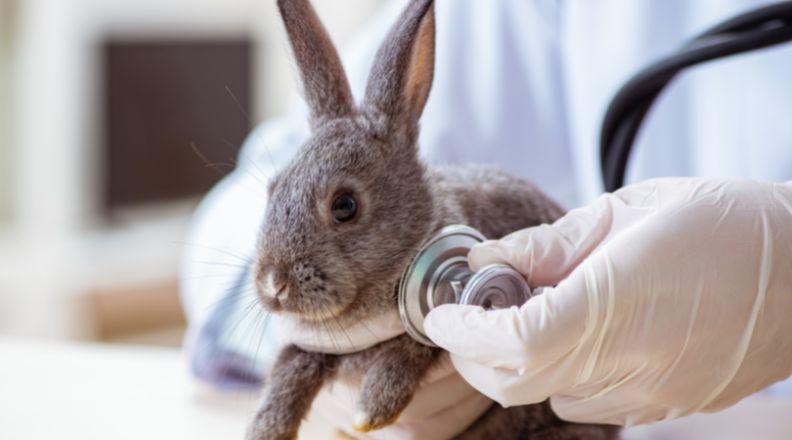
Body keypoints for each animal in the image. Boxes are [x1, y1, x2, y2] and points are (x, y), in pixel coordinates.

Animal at [247, 0, 620, 439]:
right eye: (272, 188)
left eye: (344, 205)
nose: (274, 284)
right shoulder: (312, 346)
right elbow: (290, 369)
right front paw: (265, 428)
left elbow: (410, 350)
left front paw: (372, 410)